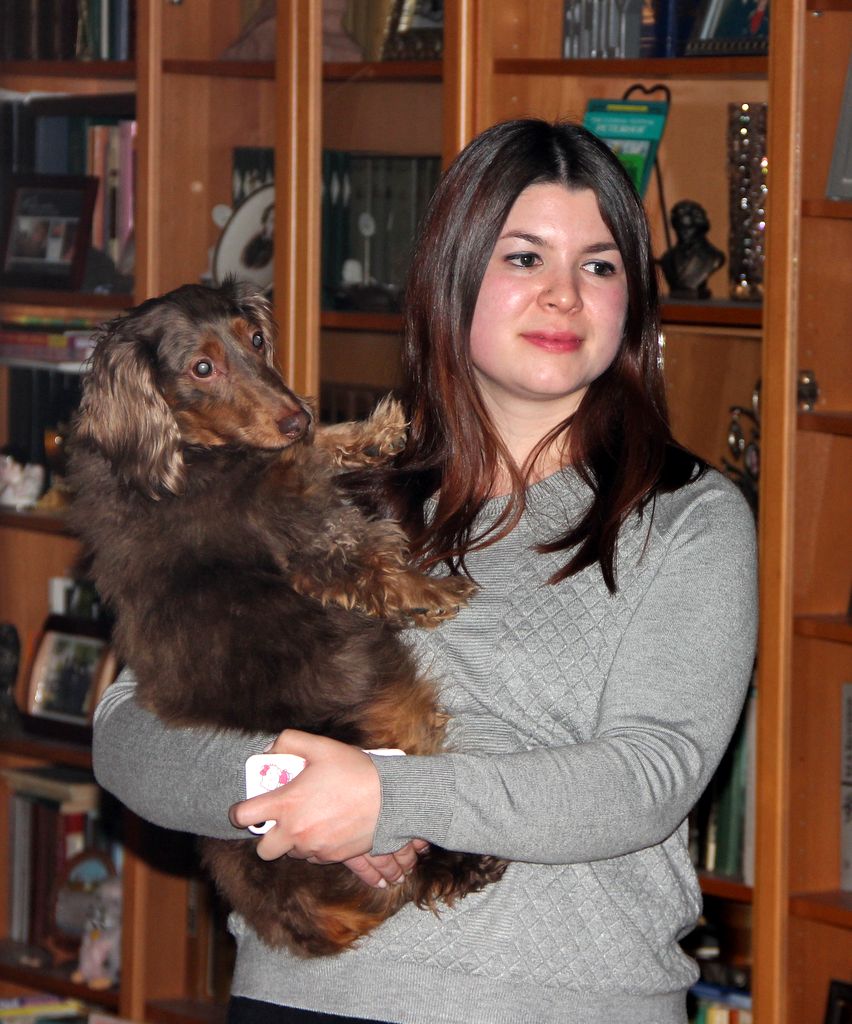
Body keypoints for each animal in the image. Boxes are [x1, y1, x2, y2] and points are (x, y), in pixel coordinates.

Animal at [68, 279, 506, 957]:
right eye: (202, 368)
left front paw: (371, 431)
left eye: (254, 339)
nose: (295, 414)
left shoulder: (285, 465)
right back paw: (467, 861)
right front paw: (432, 591)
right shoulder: (299, 531)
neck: (189, 454)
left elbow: (315, 451)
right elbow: (370, 563)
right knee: (415, 870)